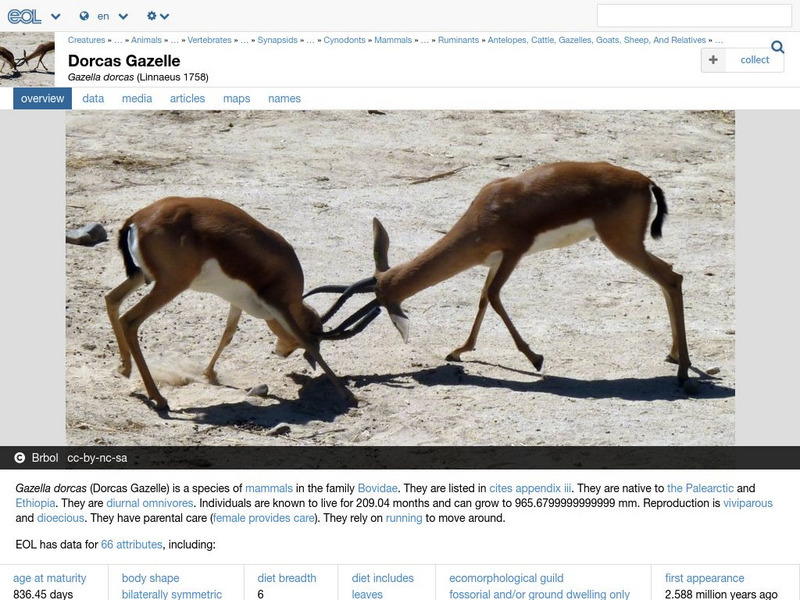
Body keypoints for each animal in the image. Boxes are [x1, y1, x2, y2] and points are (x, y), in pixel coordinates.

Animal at [105, 196, 379, 411]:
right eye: (318, 335)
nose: (280, 352)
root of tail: (137, 219)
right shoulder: (278, 305)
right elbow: (305, 340)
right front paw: (349, 396)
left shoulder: (236, 302)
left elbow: (228, 334)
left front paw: (210, 375)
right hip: (170, 285)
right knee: (130, 320)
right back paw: (159, 399)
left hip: (143, 276)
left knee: (111, 299)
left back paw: (124, 369)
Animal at [310, 161, 692, 389]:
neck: (484, 213)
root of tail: (645, 181)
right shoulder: (494, 260)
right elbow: (482, 299)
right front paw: (459, 350)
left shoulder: (513, 253)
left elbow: (494, 298)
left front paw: (535, 358)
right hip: (629, 246)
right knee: (668, 278)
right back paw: (674, 357)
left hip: (622, 245)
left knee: (671, 278)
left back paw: (683, 374)